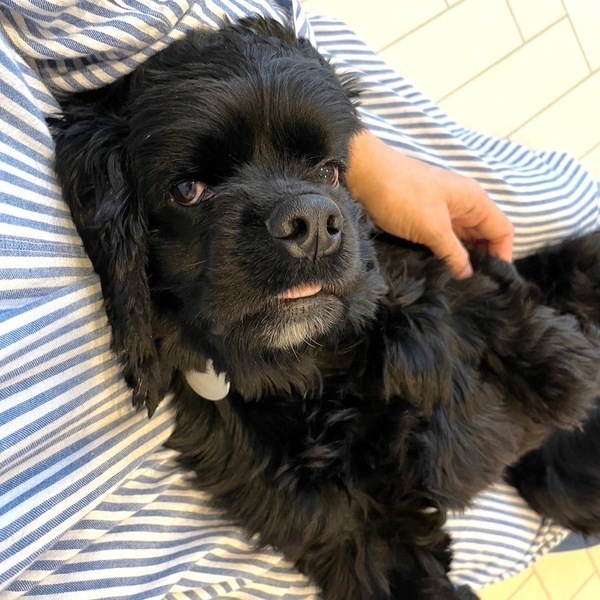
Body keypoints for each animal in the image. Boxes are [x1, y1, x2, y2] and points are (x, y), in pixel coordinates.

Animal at [50, 17, 600, 599]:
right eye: (187, 190)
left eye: (331, 172)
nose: (312, 221)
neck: (315, 368)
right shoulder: (360, 537)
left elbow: (482, 306)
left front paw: (548, 368)